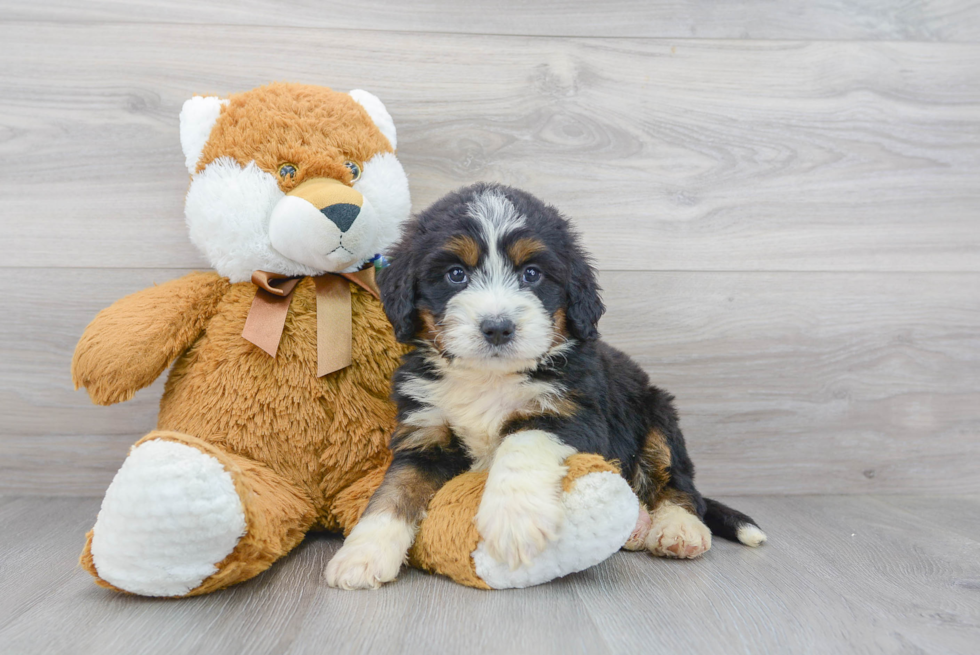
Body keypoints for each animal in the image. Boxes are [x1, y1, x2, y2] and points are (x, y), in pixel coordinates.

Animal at [324, 183, 764, 588]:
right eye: (456, 274)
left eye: (531, 274)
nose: (497, 327)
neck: (489, 376)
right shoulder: (425, 432)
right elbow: (394, 491)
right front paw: (363, 553)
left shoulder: (575, 412)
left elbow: (521, 443)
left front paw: (513, 520)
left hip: (657, 413)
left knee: (679, 482)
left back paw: (677, 528)